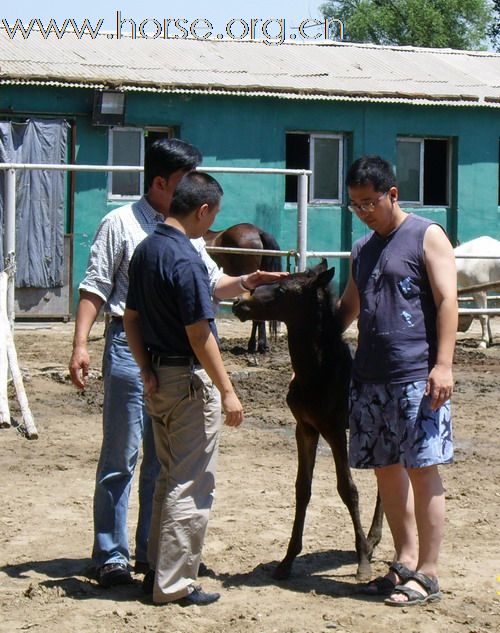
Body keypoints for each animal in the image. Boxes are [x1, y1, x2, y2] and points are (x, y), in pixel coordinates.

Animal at [233, 260, 382, 576]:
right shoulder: (305, 429)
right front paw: (287, 560)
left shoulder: (334, 430)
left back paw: (373, 542)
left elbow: (347, 489)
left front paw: (362, 560)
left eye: (281, 290)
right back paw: (375, 539)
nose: (239, 303)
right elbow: (303, 488)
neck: (318, 372)